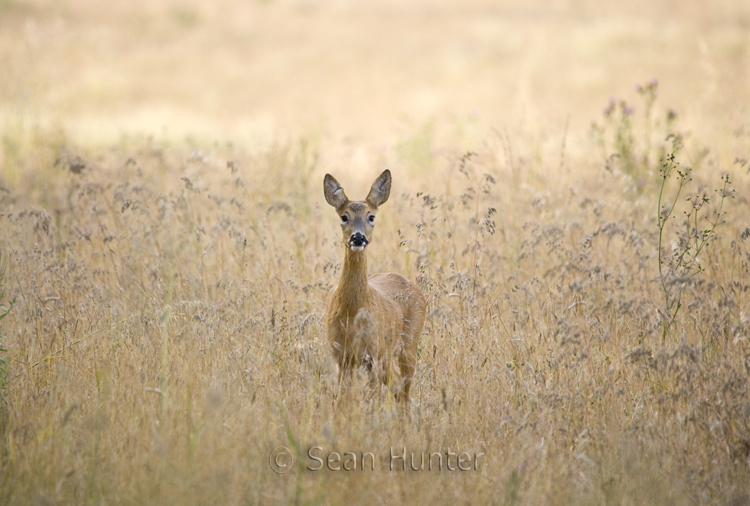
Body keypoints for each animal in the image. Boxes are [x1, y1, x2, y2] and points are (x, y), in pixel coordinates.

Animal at [324, 171, 428, 404]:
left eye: (371, 216)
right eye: (344, 217)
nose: (358, 237)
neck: (353, 312)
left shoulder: (373, 354)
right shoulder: (341, 356)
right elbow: (344, 399)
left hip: (408, 343)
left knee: (404, 389)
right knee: (397, 386)